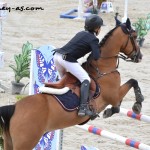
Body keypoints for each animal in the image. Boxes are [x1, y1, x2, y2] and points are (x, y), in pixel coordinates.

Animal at [0, 18, 144, 149]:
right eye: (135, 36)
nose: (140, 56)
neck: (104, 68)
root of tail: (14, 108)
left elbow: (123, 97)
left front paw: (111, 111)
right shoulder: (114, 95)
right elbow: (131, 84)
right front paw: (137, 104)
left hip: (9, 142)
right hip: (26, 142)